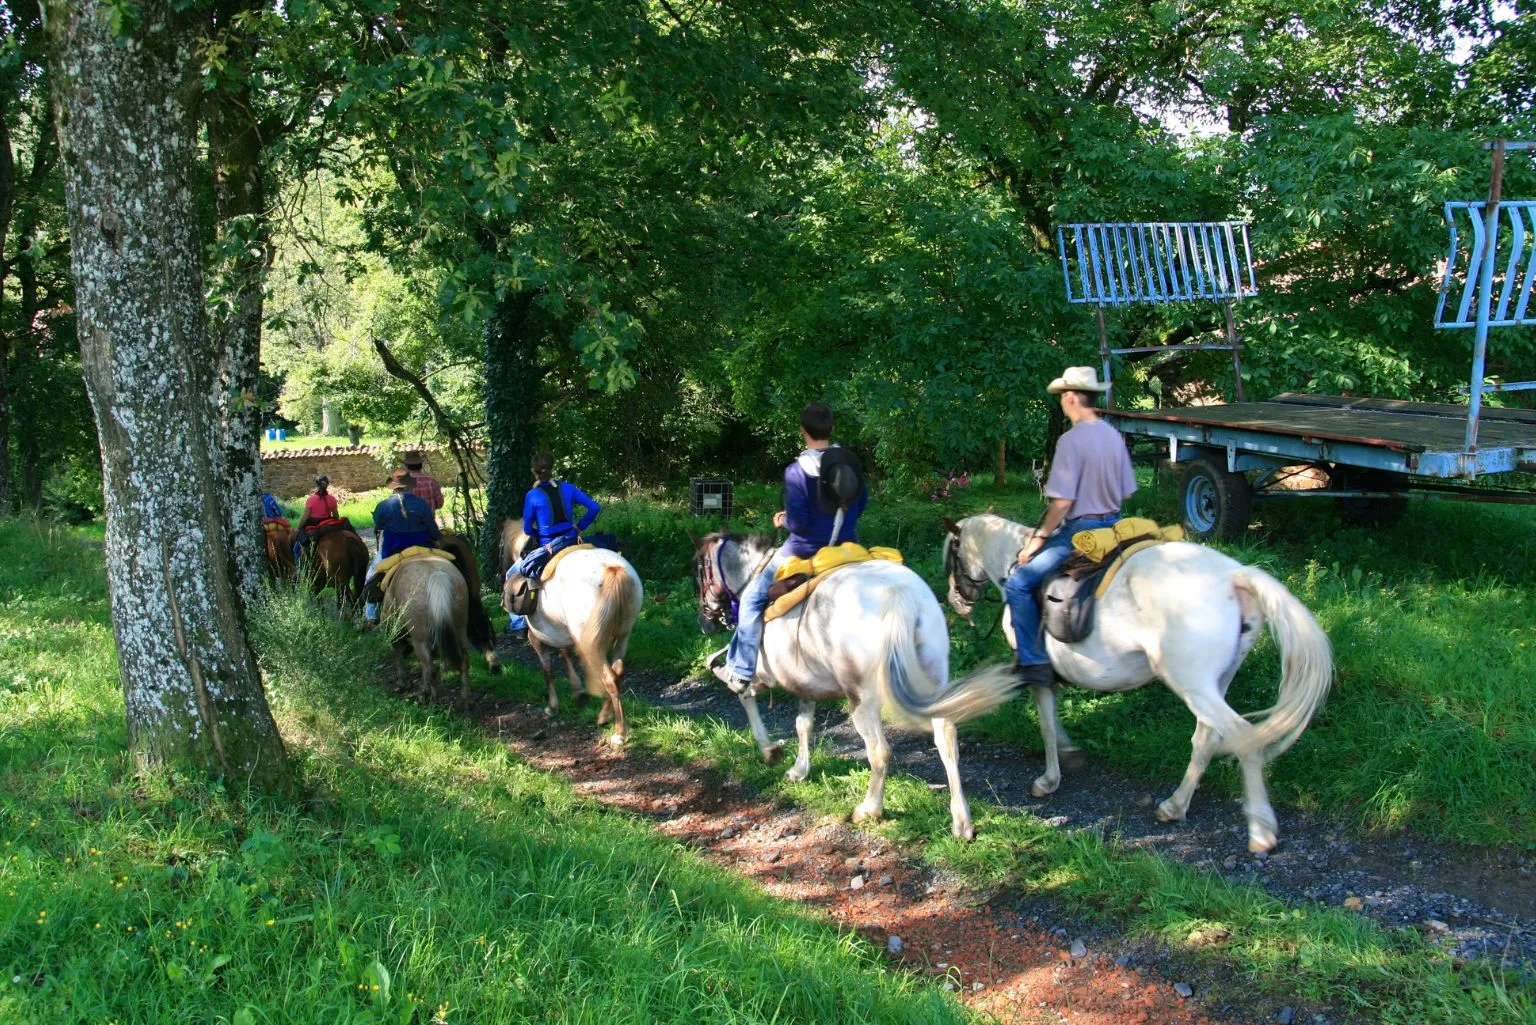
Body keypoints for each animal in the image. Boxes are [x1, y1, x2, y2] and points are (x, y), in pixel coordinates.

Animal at [382, 553, 466, 706]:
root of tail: (437, 575)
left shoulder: (396, 634)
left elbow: (398, 655)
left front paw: (403, 684)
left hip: (420, 639)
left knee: (431, 669)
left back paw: (433, 701)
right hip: (460, 631)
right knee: (463, 663)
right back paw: (465, 700)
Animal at [503, 528, 642, 746]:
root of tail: (612, 569)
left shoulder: (537, 638)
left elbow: (548, 670)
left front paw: (553, 707)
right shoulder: (564, 634)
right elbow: (565, 654)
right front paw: (578, 693)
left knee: (608, 678)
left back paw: (619, 733)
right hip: (622, 635)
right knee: (617, 672)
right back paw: (605, 715)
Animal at [697, 534, 1019, 835]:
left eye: (700, 569)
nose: (706, 621)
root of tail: (901, 597)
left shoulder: (762, 676)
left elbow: (743, 694)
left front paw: (770, 751)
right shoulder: (805, 684)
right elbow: (803, 724)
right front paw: (799, 769)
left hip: (862, 700)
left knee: (879, 751)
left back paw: (869, 810)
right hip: (934, 680)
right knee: (947, 738)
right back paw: (962, 822)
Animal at [940, 513, 1327, 860]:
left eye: (953, 555)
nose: (957, 601)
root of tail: (1234, 576)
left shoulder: (1037, 673)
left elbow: (1047, 727)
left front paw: (1049, 780)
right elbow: (1056, 725)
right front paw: (1070, 754)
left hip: (1195, 685)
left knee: (1243, 737)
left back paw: (1260, 831)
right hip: (1214, 684)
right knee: (1205, 739)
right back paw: (1175, 805)